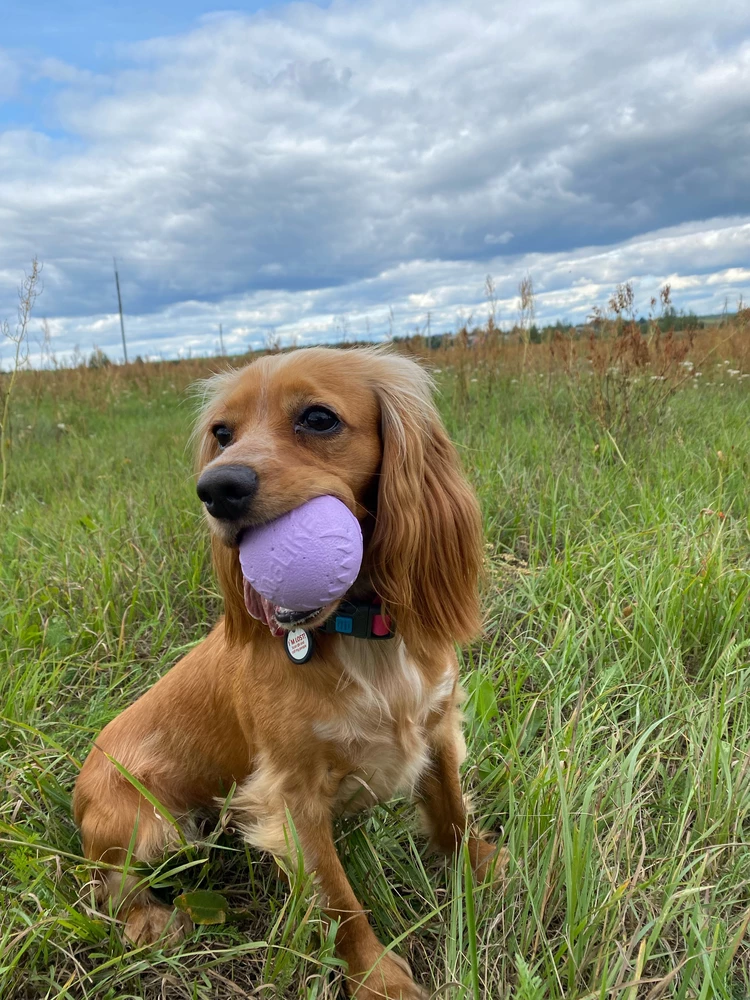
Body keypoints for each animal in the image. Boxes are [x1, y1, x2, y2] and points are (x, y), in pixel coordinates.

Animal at [75, 346, 500, 1000]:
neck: (356, 631)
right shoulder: (291, 794)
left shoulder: (437, 727)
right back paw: (150, 921)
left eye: (318, 419)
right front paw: (376, 977)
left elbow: (452, 810)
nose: (216, 488)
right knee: (106, 886)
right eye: (222, 433)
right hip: (145, 824)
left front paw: (478, 867)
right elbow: (340, 899)